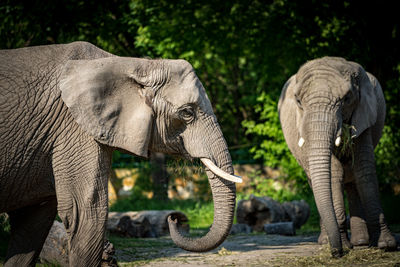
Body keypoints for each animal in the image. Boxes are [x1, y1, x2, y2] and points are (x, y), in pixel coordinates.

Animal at [0, 40, 242, 266]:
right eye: (187, 113)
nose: (174, 219)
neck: (129, 64)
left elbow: (34, 220)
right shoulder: (72, 126)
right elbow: (86, 212)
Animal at [278, 56, 396, 258]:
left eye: (347, 98)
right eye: (299, 101)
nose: (336, 253)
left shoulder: (364, 114)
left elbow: (364, 169)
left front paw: (386, 245)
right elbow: (334, 172)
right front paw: (341, 246)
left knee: (353, 180)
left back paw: (361, 242)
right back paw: (329, 241)